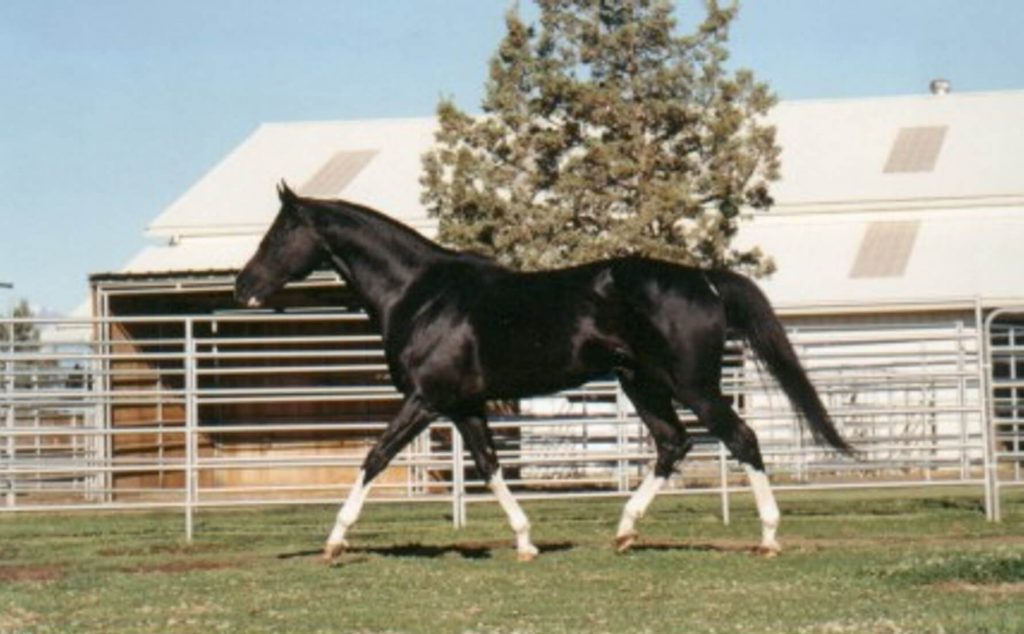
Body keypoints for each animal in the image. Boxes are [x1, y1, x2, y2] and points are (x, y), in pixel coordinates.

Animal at [235, 182, 852, 562]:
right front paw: (526, 542)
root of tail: (703, 279)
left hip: (693, 386)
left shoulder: (426, 399)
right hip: (642, 383)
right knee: (673, 444)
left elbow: (375, 457)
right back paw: (624, 532)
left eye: (280, 233)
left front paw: (335, 542)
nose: (243, 286)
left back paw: (768, 538)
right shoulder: (464, 406)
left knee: (740, 437)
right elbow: (488, 467)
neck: (422, 294)